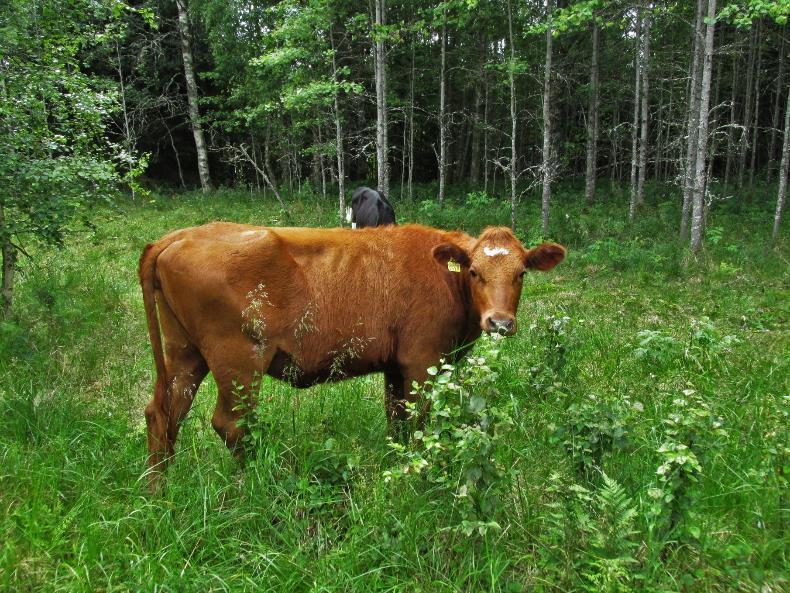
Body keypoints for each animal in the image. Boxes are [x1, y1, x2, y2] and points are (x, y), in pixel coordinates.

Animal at [139, 222, 568, 486]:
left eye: (521, 273)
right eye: (475, 272)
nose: (500, 322)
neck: (447, 279)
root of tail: (181, 235)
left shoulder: (396, 367)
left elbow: (397, 420)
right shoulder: (421, 362)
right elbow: (417, 424)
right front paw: (418, 476)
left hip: (184, 353)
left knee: (163, 413)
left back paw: (159, 491)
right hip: (238, 360)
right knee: (230, 423)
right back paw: (264, 482)